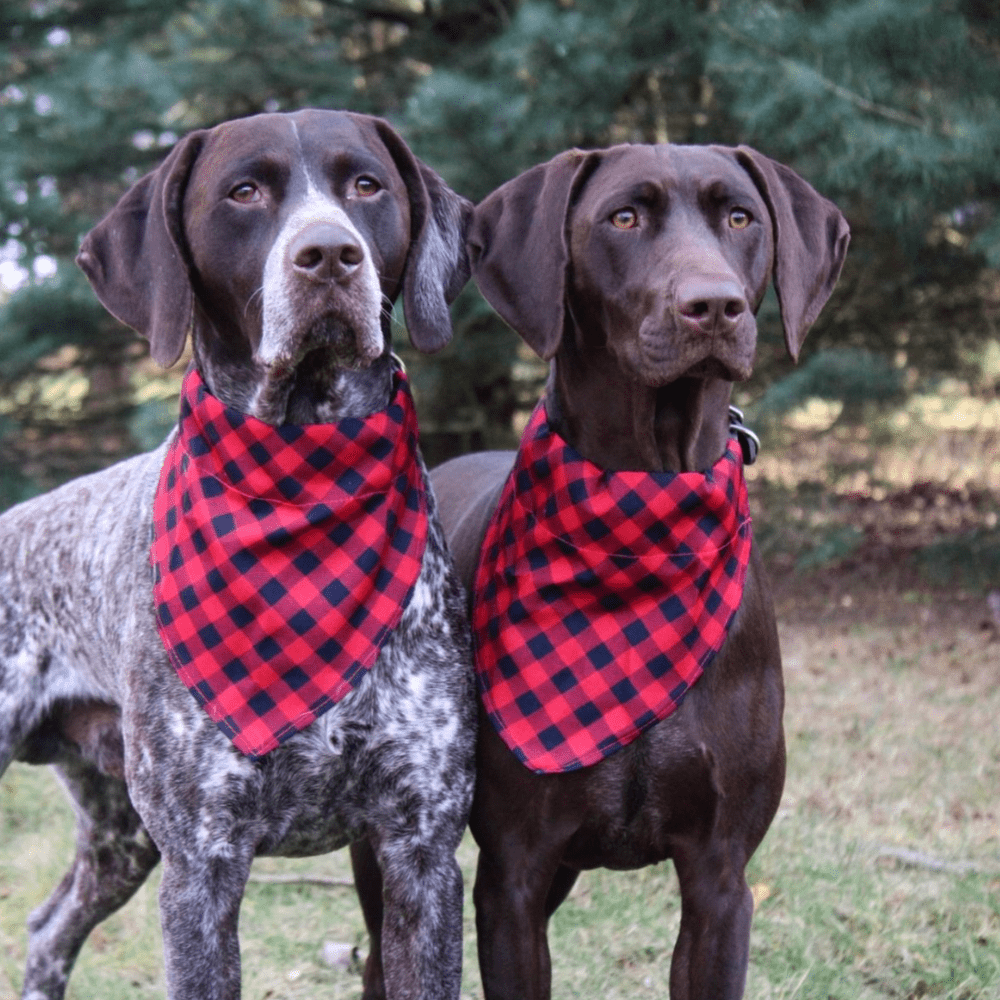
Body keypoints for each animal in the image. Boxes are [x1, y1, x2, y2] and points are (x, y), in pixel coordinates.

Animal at [0, 109, 476, 1000]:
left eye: (367, 184)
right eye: (244, 191)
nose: (329, 254)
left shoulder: (422, 852)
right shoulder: (203, 866)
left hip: (122, 840)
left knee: (47, 930)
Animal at [356, 141, 848, 1000]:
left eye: (739, 217)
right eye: (624, 217)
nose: (715, 306)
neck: (643, 518)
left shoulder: (720, 880)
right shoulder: (513, 876)